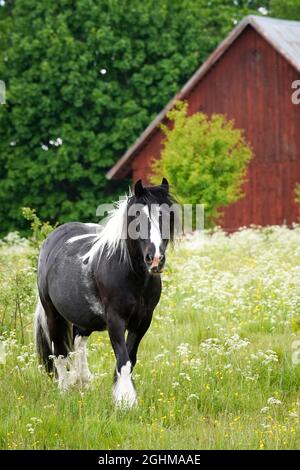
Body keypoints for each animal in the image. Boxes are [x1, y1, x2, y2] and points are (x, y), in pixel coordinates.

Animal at [34, 178, 176, 406]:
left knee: (78, 342)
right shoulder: (115, 320)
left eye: (167, 216)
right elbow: (123, 359)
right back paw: (65, 388)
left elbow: (130, 358)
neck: (131, 274)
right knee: (59, 352)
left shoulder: (143, 321)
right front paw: (126, 401)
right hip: (52, 314)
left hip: (84, 317)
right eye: (137, 216)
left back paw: (83, 380)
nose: (155, 259)